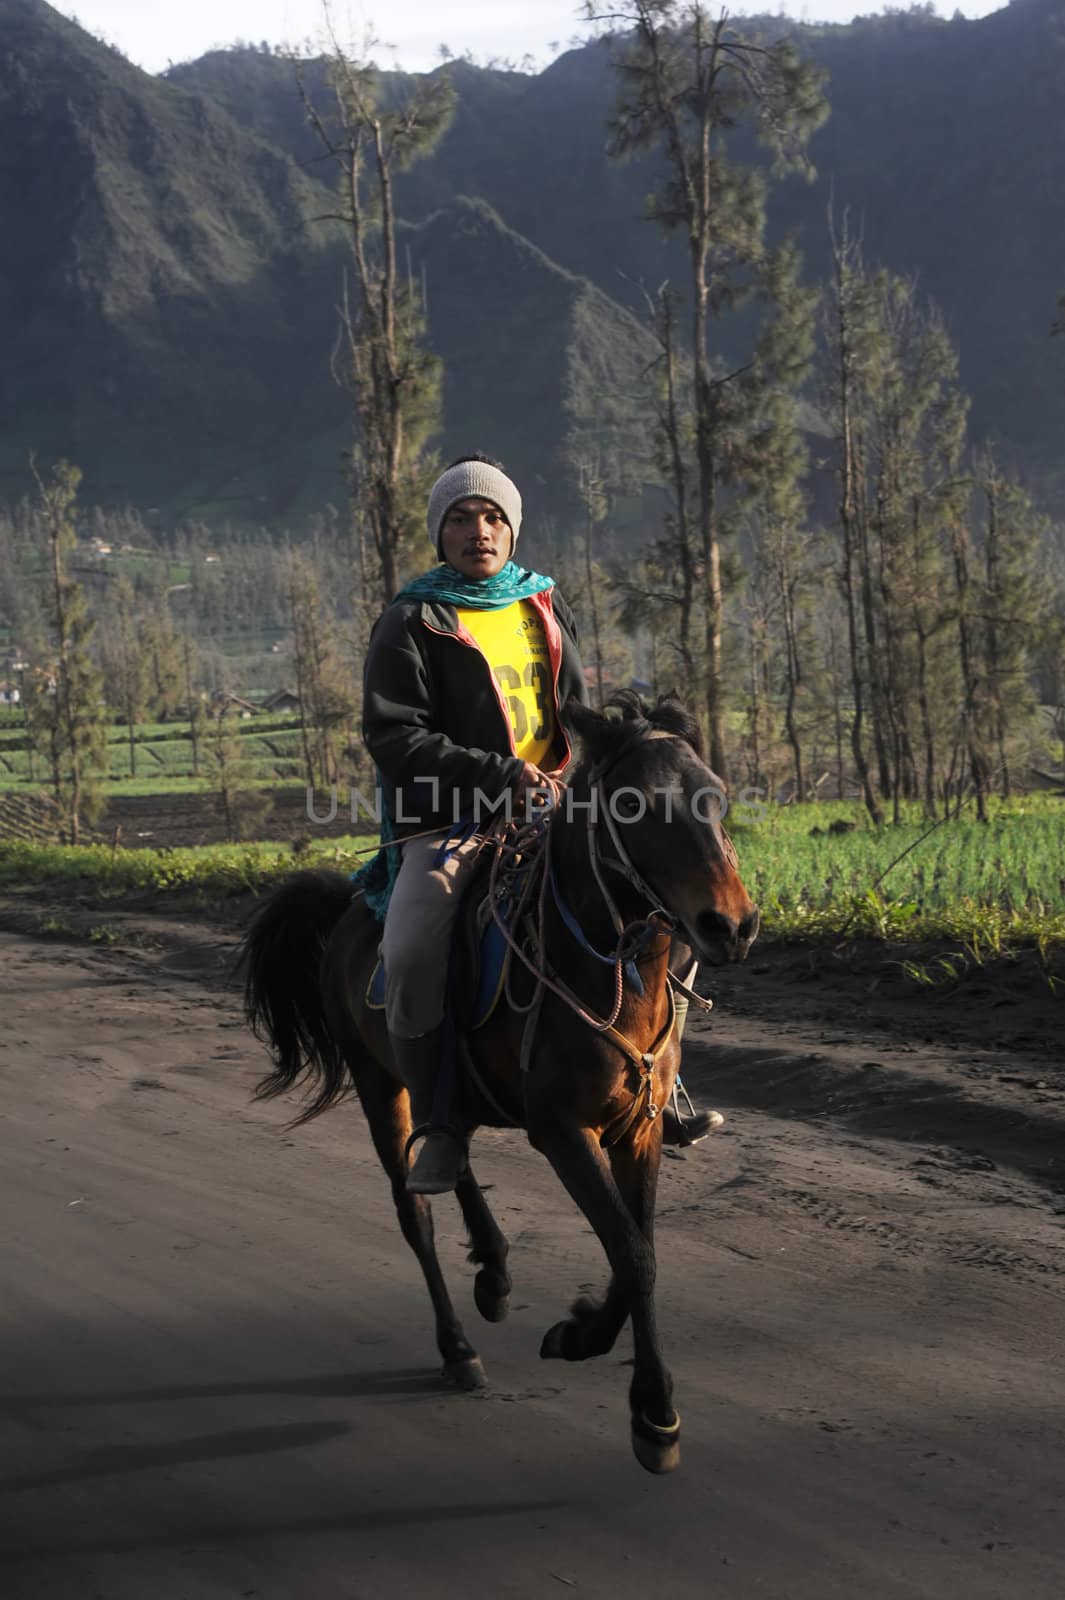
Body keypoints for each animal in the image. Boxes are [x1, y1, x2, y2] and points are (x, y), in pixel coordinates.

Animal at [239, 694, 754, 1465]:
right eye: (634, 806)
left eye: (716, 797)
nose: (732, 924)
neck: (605, 971)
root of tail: (347, 907)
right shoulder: (563, 1131)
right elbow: (632, 1253)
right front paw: (650, 1411)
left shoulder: (638, 1131)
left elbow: (637, 1250)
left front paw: (585, 1337)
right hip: (379, 1082)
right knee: (415, 1206)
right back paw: (457, 1346)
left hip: (446, 1092)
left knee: (451, 1149)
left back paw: (493, 1268)